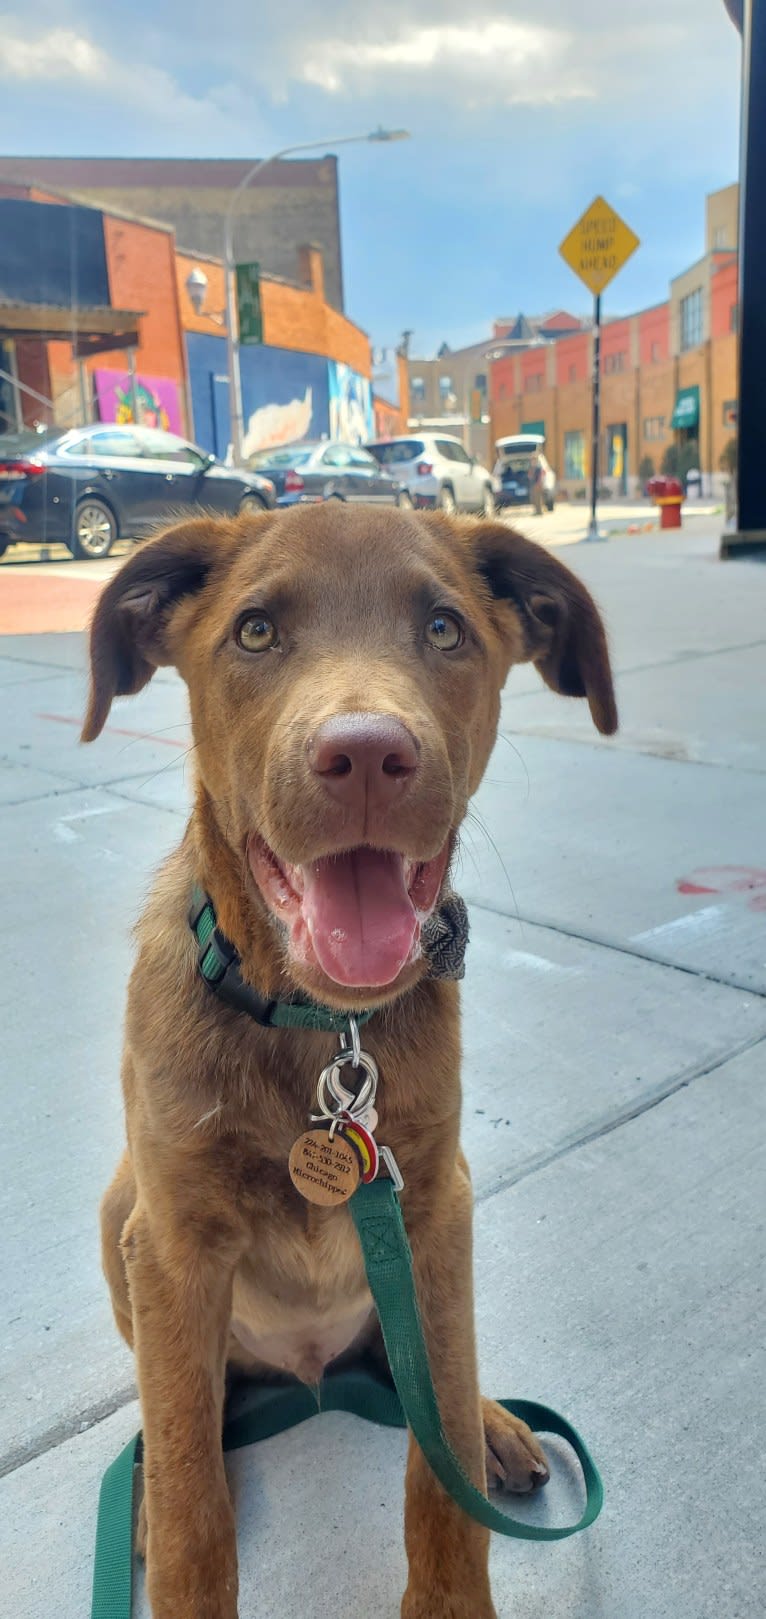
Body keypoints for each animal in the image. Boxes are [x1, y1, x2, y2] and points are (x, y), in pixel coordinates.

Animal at [82, 505, 615, 1619]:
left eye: (446, 629)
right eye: (253, 631)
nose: (367, 754)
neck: (326, 1032)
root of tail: (312, 1370)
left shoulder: (434, 1204)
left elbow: (438, 1458)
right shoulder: (175, 1241)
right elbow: (196, 1502)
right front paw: (175, 1515)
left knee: (431, 1379)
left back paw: (493, 1421)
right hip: (122, 1213)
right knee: (180, 1408)